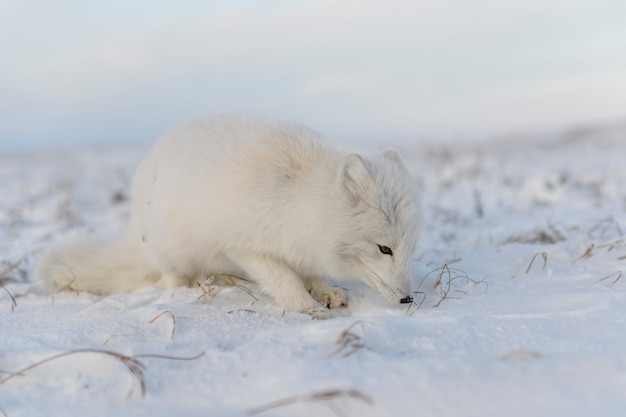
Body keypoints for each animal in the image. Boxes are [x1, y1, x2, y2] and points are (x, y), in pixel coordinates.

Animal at [40, 115, 420, 316]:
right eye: (384, 248)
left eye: (410, 249)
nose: (407, 299)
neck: (299, 197)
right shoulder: (247, 247)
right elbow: (285, 280)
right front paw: (307, 308)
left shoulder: (302, 245)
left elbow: (311, 273)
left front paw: (326, 292)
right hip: (172, 251)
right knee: (171, 277)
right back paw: (190, 289)